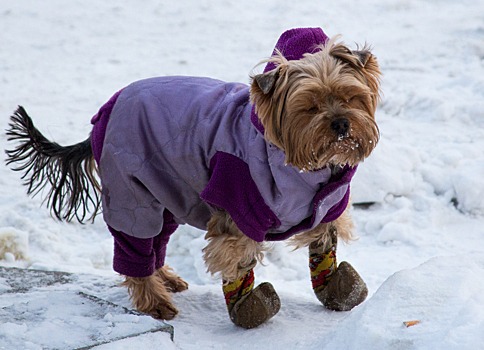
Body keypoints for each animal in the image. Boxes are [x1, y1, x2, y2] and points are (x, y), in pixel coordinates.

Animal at [4, 27, 382, 328]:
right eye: (310, 106)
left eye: (350, 97)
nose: (341, 123)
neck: (302, 165)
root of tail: (106, 109)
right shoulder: (239, 204)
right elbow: (235, 259)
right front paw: (248, 308)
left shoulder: (327, 205)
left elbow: (325, 244)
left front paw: (338, 290)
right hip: (129, 189)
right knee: (135, 243)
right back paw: (155, 301)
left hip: (167, 190)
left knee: (157, 240)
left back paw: (166, 280)